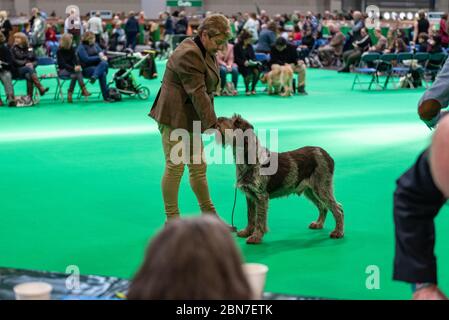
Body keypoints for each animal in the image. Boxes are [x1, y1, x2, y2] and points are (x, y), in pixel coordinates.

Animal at [215, 115, 344, 245]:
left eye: (236, 122)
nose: (218, 119)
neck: (248, 160)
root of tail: (326, 154)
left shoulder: (261, 197)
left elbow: (259, 218)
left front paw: (256, 236)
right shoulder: (250, 196)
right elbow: (250, 215)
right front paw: (247, 231)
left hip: (322, 188)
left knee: (338, 209)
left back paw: (338, 232)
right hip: (310, 191)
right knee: (323, 206)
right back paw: (318, 224)